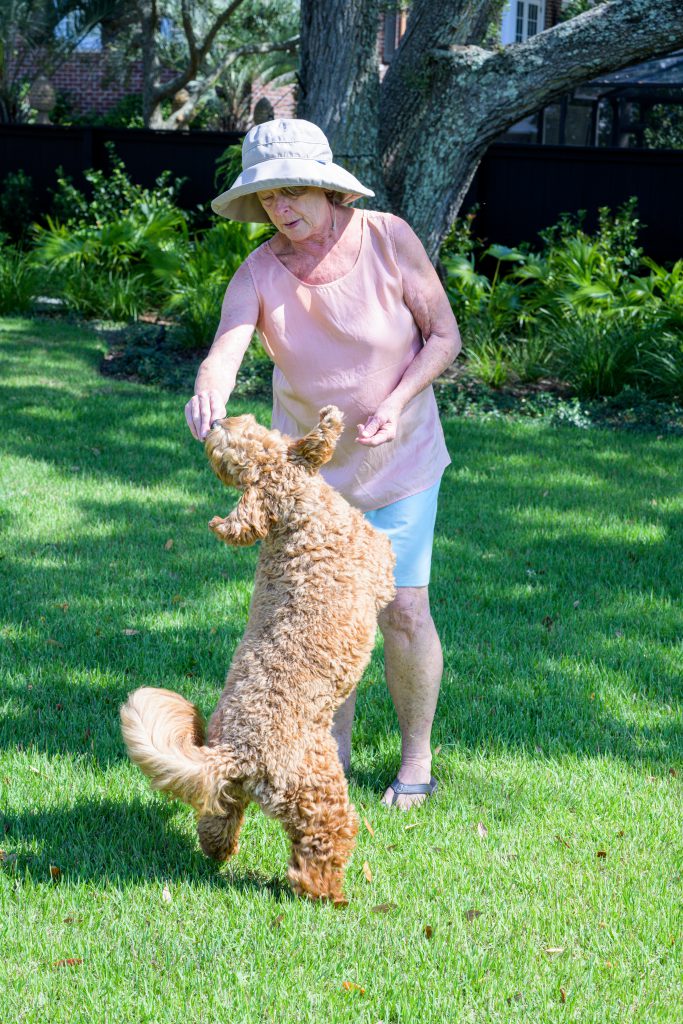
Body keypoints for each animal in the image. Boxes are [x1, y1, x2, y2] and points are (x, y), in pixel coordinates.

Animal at [118, 403, 395, 901]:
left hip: (229, 794)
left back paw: (219, 855)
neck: (295, 520)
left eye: (243, 429)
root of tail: (238, 753)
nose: (213, 422)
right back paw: (329, 895)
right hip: (319, 794)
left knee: (215, 822)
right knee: (319, 848)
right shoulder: (376, 561)